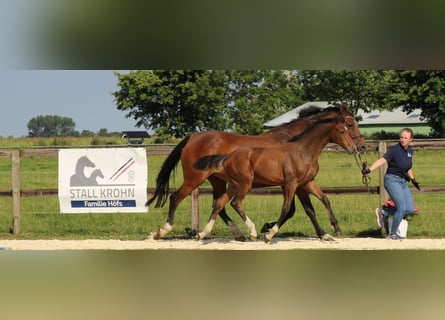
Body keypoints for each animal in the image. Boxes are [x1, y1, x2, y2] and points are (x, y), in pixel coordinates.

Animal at [146, 102, 364, 240]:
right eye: (349, 123)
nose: (361, 147)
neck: (295, 141)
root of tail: (192, 137)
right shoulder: (294, 184)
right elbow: (299, 210)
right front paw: (268, 228)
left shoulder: (299, 183)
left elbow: (307, 207)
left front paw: (326, 233)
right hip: (195, 179)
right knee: (176, 197)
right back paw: (162, 231)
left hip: (218, 181)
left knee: (219, 204)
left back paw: (238, 233)